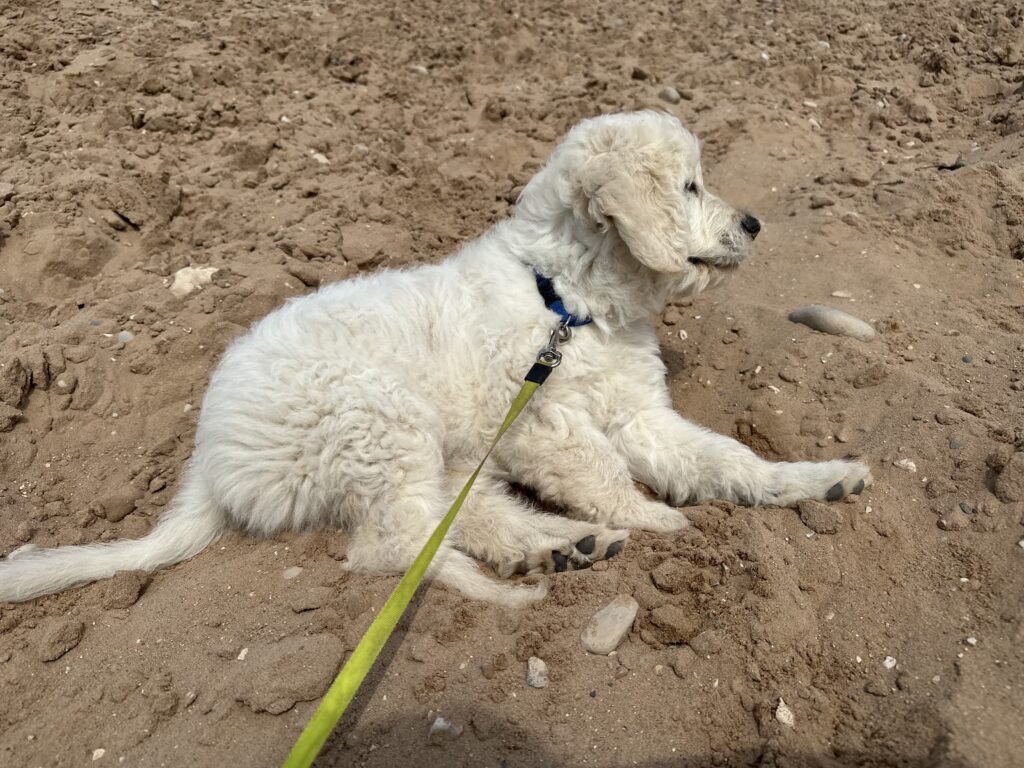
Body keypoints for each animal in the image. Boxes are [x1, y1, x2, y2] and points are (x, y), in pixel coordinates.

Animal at [0, 111, 871, 606]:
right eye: (689, 186)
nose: (754, 224)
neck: (568, 297)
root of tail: (208, 461)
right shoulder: (542, 421)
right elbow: (604, 475)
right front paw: (659, 521)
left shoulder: (636, 413)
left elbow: (723, 458)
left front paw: (813, 480)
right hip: (375, 417)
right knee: (391, 545)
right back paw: (528, 569)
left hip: (425, 446)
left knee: (461, 516)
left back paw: (562, 547)